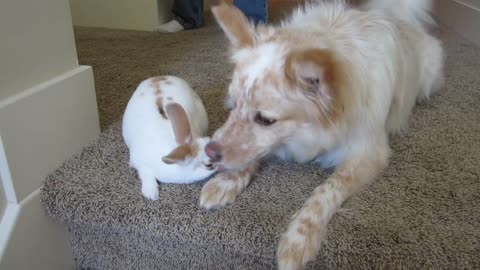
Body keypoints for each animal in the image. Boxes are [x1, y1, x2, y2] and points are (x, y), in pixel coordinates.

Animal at [202, 1, 442, 268]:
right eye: (233, 105)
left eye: (265, 119)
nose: (208, 151)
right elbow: (253, 151)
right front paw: (226, 181)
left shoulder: (368, 153)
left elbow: (327, 190)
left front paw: (299, 237)